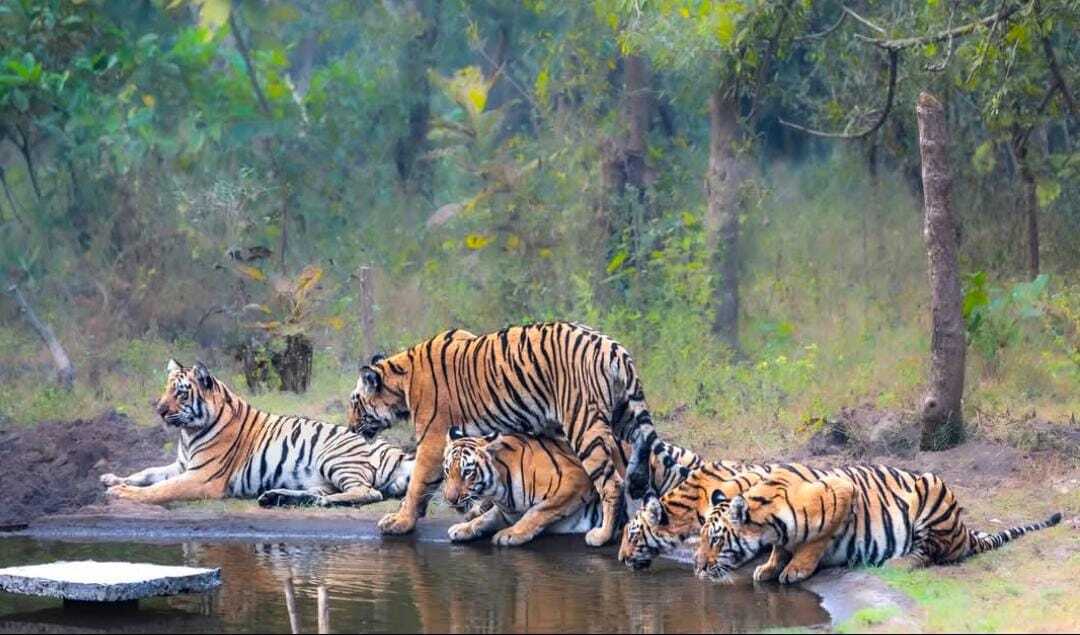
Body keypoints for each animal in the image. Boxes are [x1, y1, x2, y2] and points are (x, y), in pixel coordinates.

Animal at [102, 359, 414, 508]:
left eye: (179, 393)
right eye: (167, 388)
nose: (159, 410)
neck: (188, 434)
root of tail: (399, 453)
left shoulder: (201, 476)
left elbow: (161, 489)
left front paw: (121, 492)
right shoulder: (182, 465)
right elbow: (148, 473)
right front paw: (112, 479)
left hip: (335, 458)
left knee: (368, 492)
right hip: (321, 477)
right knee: (324, 491)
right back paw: (275, 497)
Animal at [347, 322, 662, 546]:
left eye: (354, 403)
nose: (350, 427)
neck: (402, 378)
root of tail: (613, 347)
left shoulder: (432, 439)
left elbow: (418, 484)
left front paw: (400, 521)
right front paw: (478, 510)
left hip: (584, 424)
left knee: (611, 482)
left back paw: (602, 535)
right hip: (625, 415)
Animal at [442, 429, 703, 546]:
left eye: (467, 472)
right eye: (447, 471)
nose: (450, 499)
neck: (500, 489)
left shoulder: (575, 479)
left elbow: (537, 512)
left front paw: (511, 534)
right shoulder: (506, 509)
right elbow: (484, 519)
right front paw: (462, 528)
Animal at [694, 463, 1064, 584]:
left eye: (715, 540)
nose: (697, 568)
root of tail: (964, 533)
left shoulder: (842, 491)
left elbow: (815, 541)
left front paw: (795, 569)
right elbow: (779, 549)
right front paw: (769, 567)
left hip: (933, 491)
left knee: (929, 554)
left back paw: (897, 563)